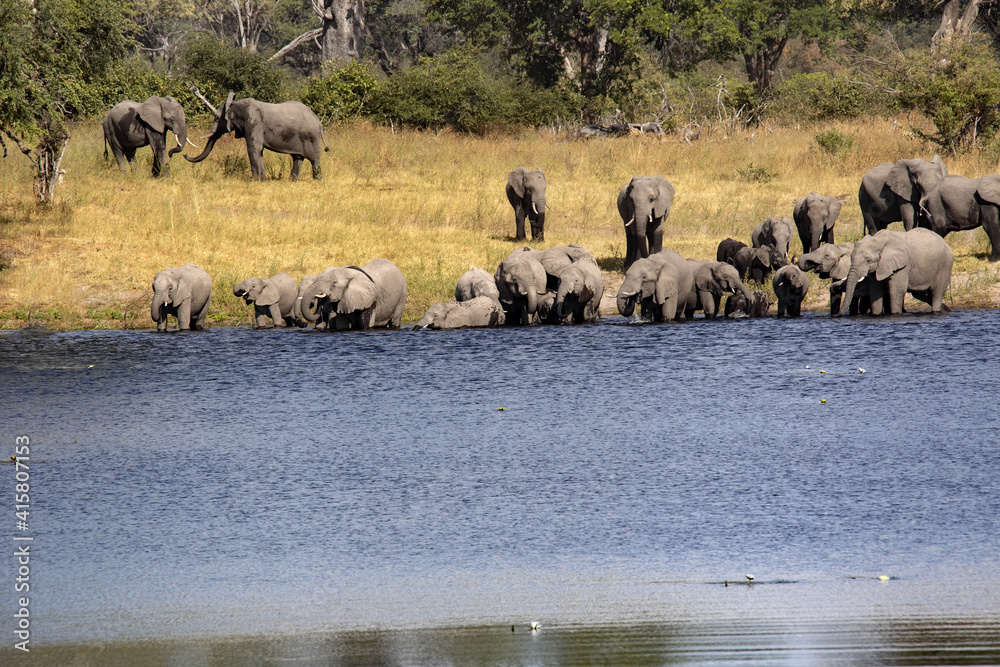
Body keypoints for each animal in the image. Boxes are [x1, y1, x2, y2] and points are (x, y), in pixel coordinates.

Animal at [185, 92, 328, 181]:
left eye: (216, 117)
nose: (185, 154)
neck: (235, 104)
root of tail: (318, 122)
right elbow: (259, 151)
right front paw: (262, 181)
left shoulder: (254, 122)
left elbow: (253, 148)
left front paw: (254, 181)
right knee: (297, 158)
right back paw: (293, 181)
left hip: (311, 137)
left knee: (314, 161)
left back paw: (317, 181)